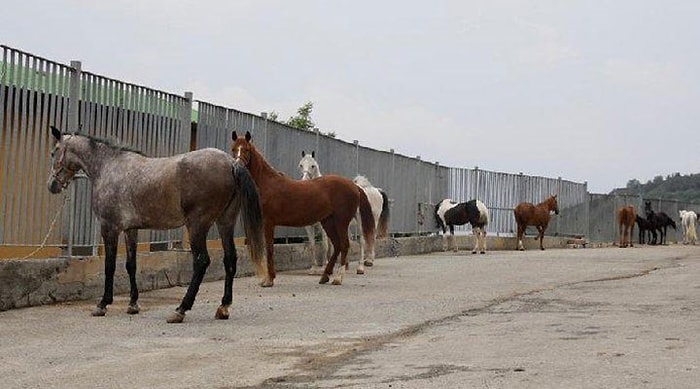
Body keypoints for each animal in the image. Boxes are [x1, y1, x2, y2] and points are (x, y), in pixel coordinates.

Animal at [46, 126, 266, 322]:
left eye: (54, 152)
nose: (52, 185)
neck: (110, 167)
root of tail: (231, 163)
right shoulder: (130, 230)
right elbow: (131, 265)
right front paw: (133, 304)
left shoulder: (109, 228)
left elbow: (110, 266)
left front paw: (103, 304)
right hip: (225, 223)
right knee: (230, 259)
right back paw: (223, 307)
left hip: (197, 226)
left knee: (201, 261)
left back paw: (181, 309)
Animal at [230, 130, 374, 284]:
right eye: (233, 149)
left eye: (246, 149)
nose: (237, 167)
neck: (268, 183)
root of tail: (354, 186)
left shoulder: (268, 223)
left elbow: (269, 249)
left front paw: (269, 280)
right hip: (328, 222)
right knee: (337, 245)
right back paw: (325, 276)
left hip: (341, 222)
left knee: (345, 245)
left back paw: (338, 277)